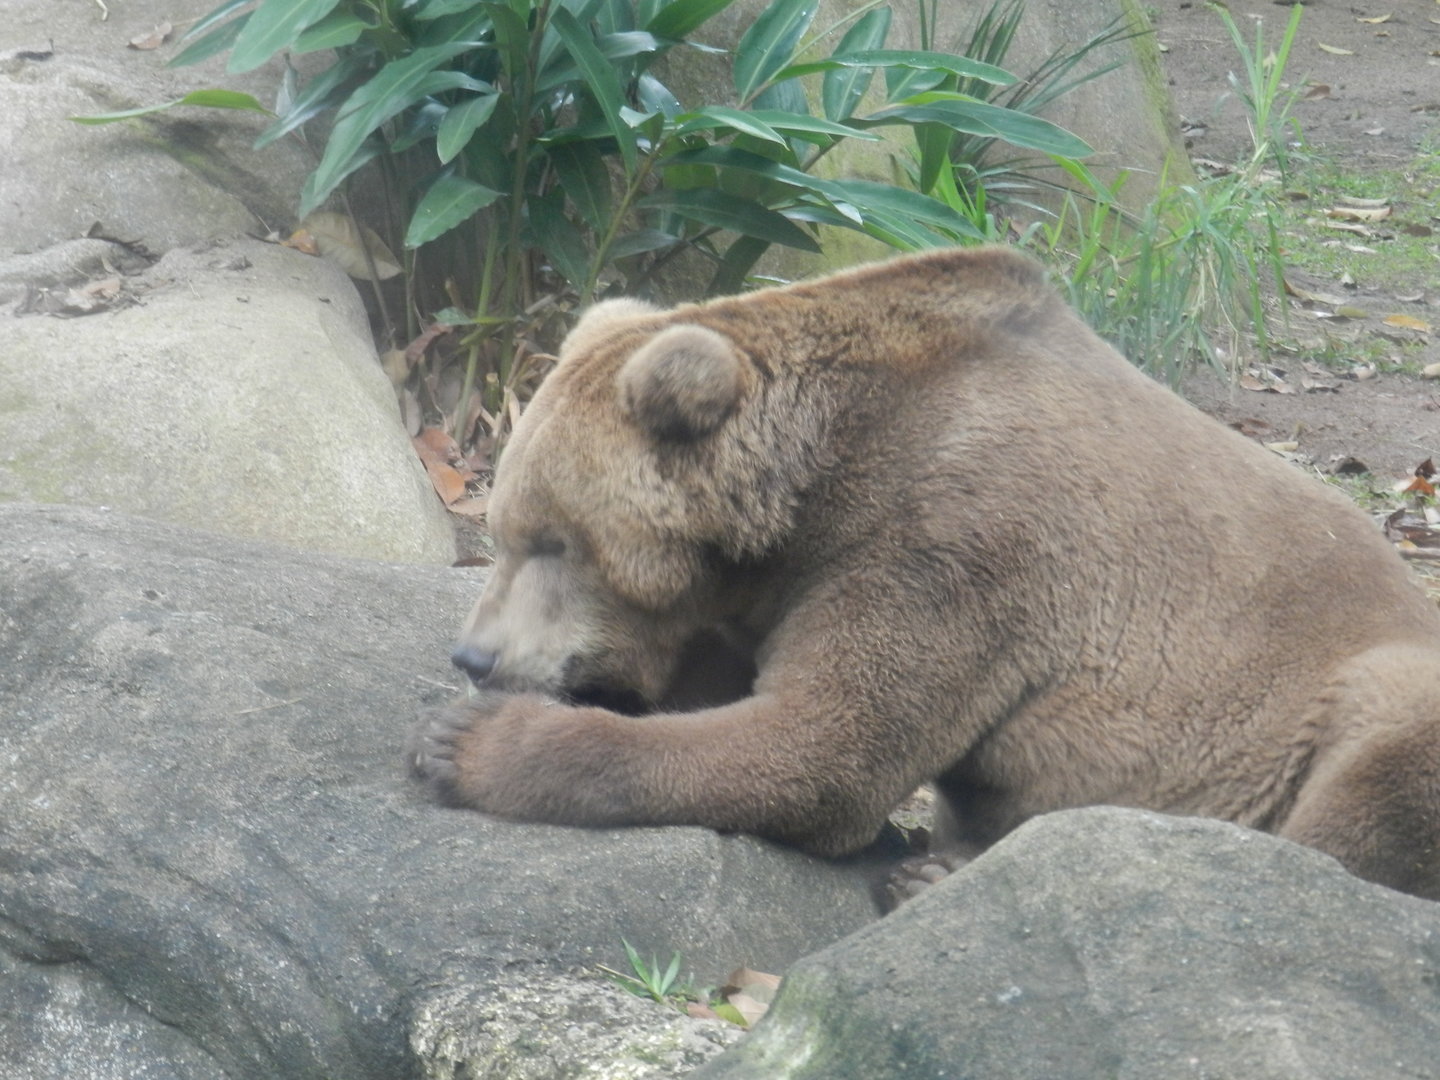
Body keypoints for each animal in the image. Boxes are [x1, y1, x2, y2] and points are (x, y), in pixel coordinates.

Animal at [408, 246, 1440, 901]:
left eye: (553, 540)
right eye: (503, 530)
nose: (474, 657)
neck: (810, 491)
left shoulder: (957, 542)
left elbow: (820, 746)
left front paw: (468, 742)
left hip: (1347, 686)